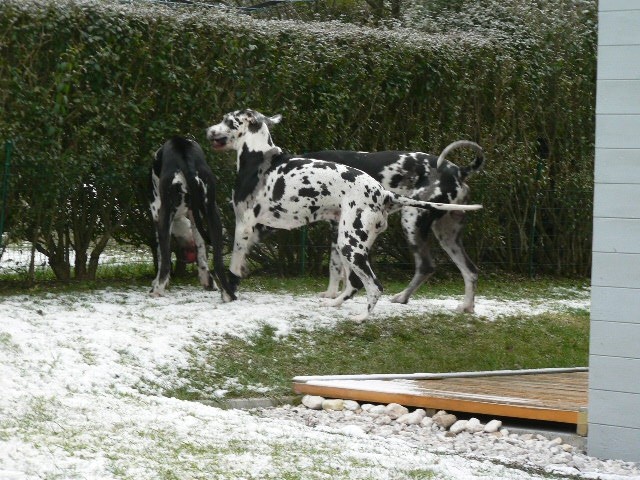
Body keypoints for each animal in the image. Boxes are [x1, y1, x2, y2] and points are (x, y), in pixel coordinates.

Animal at [149, 136, 235, 300]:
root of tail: (183, 150)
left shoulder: (157, 215)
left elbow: (161, 257)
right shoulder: (196, 219)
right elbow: (201, 250)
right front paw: (207, 280)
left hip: (164, 215)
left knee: (166, 263)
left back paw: (157, 290)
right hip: (213, 214)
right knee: (218, 263)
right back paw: (228, 294)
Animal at [302, 140, 482, 312]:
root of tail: (458, 171)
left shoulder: (340, 229)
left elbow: (335, 266)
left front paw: (333, 295)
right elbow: (342, 268)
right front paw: (337, 294)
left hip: (411, 221)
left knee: (426, 267)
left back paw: (403, 297)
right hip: (447, 236)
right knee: (470, 271)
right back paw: (467, 306)